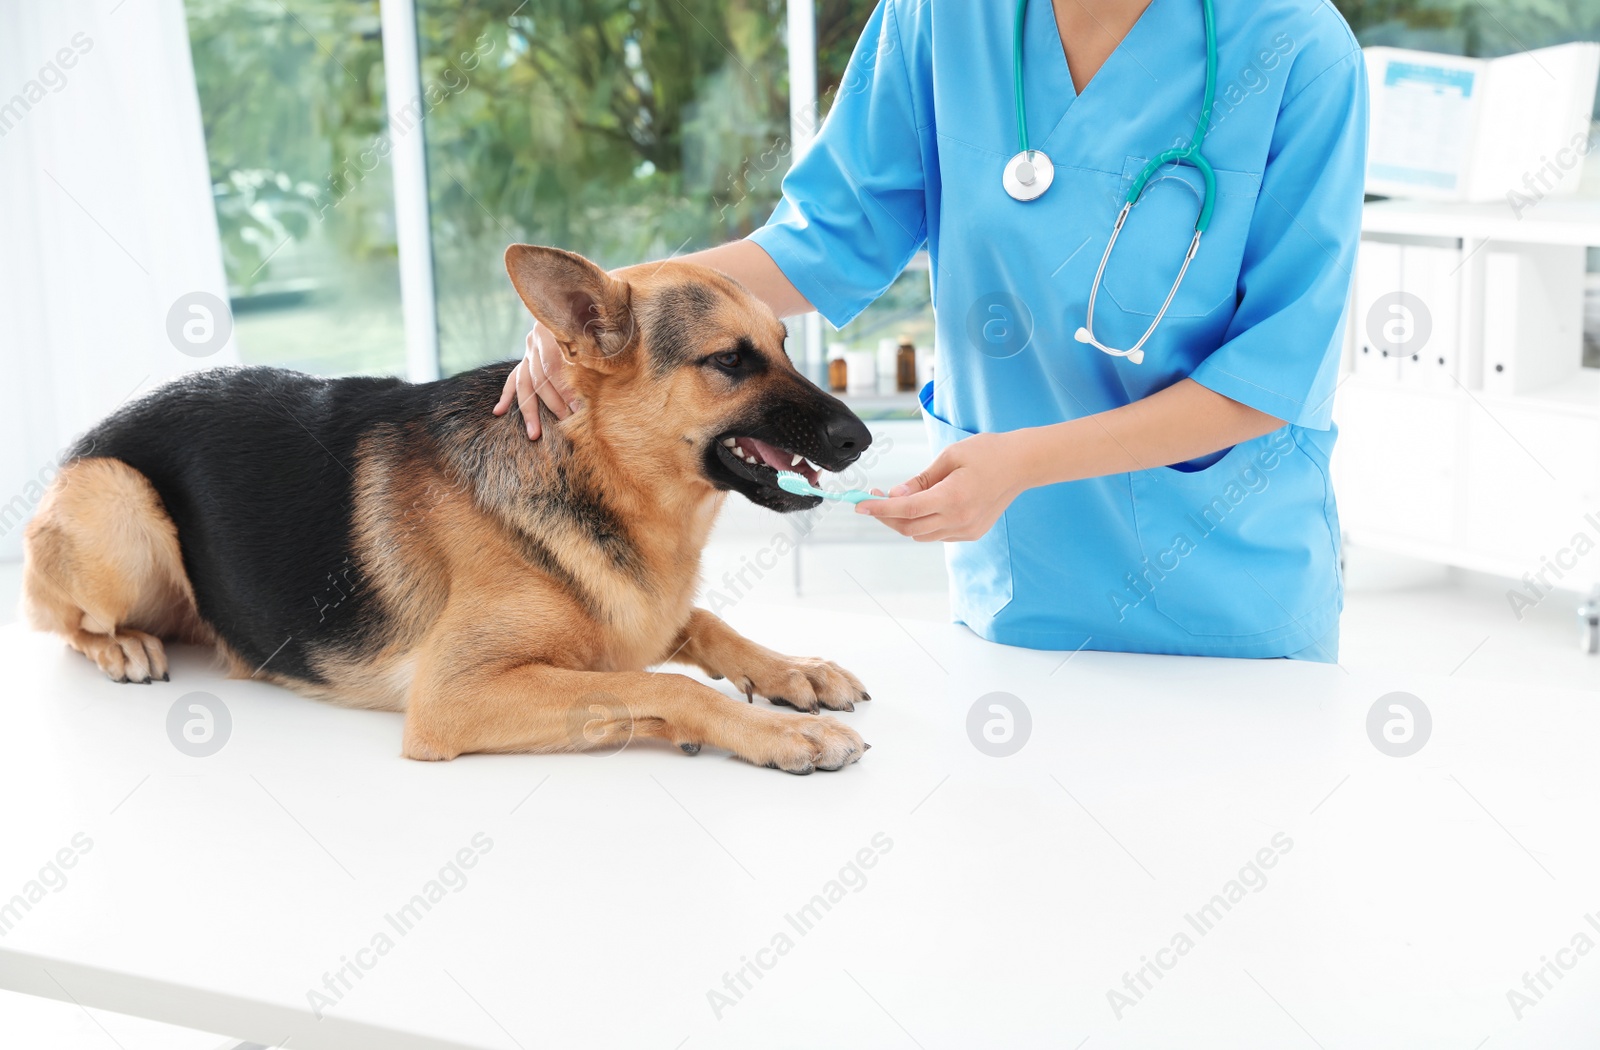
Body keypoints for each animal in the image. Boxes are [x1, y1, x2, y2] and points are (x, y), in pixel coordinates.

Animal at [18, 246, 876, 771]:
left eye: (784, 346)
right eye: (730, 361)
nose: (861, 437)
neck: (592, 470)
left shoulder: (644, 616)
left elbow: (703, 624)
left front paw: (793, 672)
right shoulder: (455, 697)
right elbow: (663, 686)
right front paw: (778, 732)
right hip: (119, 497)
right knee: (63, 624)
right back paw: (121, 647)